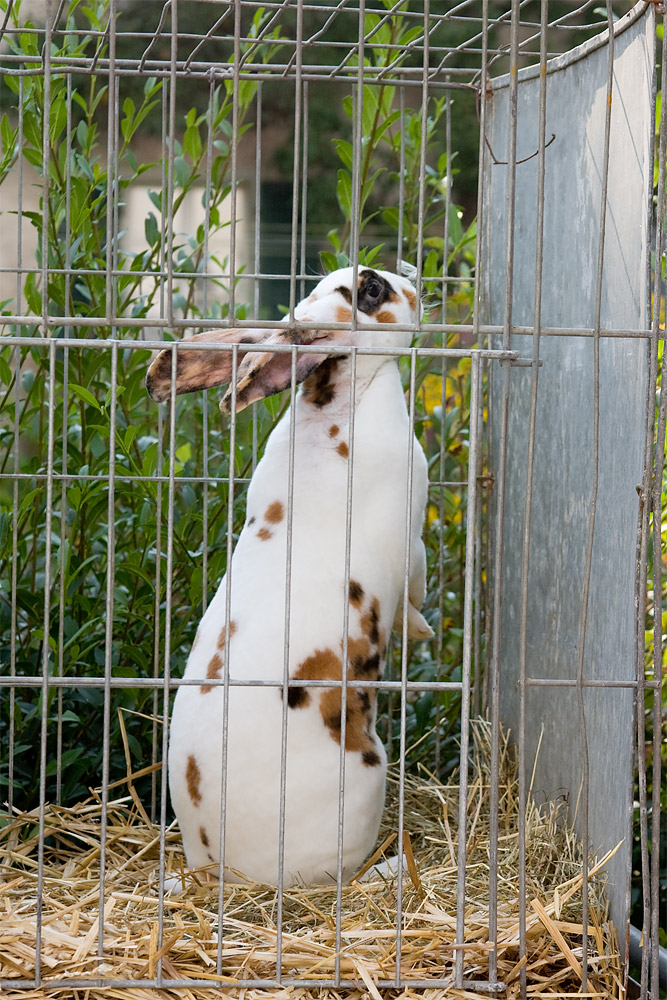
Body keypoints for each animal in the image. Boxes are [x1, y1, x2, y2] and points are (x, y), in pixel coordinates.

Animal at [145, 264, 434, 884]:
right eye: (371, 289)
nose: (412, 276)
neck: (344, 403)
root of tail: (217, 869)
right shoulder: (414, 535)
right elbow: (415, 590)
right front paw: (422, 629)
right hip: (369, 778)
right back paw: (393, 867)